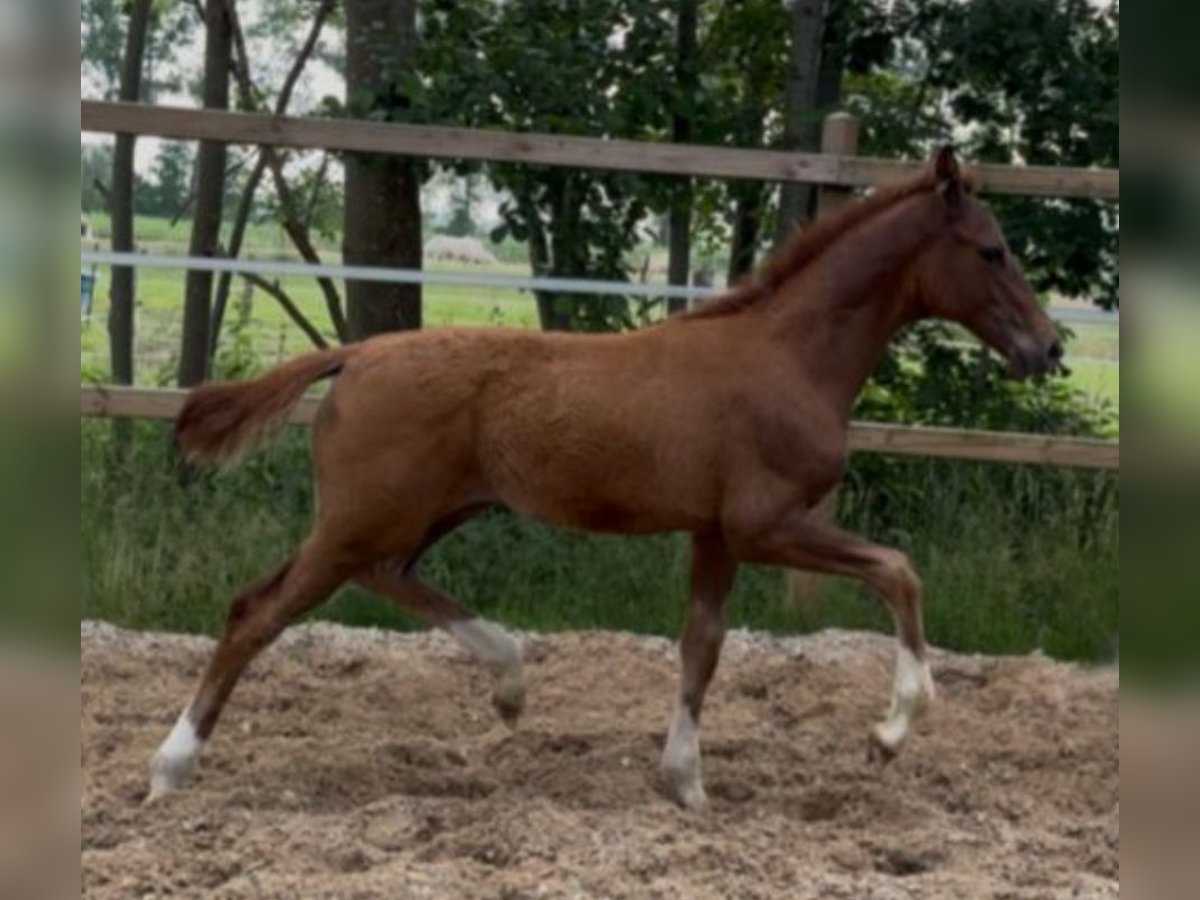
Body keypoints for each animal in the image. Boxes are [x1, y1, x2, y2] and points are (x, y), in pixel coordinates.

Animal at [147, 147, 1062, 810]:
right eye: (992, 250)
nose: (1048, 348)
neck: (788, 357)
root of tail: (359, 352)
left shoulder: (716, 534)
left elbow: (702, 646)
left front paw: (687, 785)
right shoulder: (766, 523)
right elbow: (899, 572)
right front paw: (890, 732)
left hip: (417, 514)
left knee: (378, 578)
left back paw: (511, 683)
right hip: (364, 518)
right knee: (258, 613)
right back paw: (170, 767)